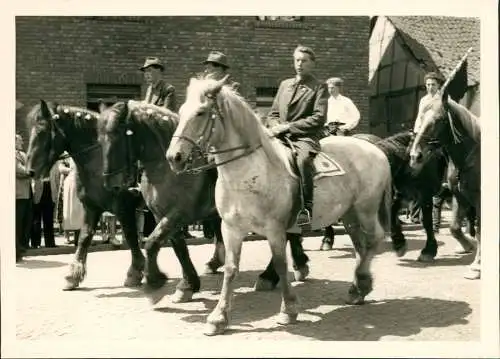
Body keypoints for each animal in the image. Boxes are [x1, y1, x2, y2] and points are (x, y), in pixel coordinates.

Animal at [25, 100, 145, 292]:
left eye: (43, 131)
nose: (30, 171)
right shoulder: (91, 207)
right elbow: (84, 237)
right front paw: (73, 276)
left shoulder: (123, 207)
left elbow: (131, 236)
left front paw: (135, 272)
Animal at [166, 76, 392, 338]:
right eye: (181, 111)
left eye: (201, 112)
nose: (174, 157)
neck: (249, 172)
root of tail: (375, 149)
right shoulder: (231, 228)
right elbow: (231, 269)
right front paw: (218, 318)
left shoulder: (274, 229)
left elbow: (281, 265)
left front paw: (289, 310)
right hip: (349, 214)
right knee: (360, 246)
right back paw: (358, 289)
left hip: (366, 209)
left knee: (374, 240)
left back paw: (361, 284)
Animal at [410, 91, 480, 280]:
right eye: (420, 117)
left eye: (439, 119)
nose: (415, 156)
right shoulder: (459, 196)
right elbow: (454, 227)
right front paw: (469, 245)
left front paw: (477, 266)